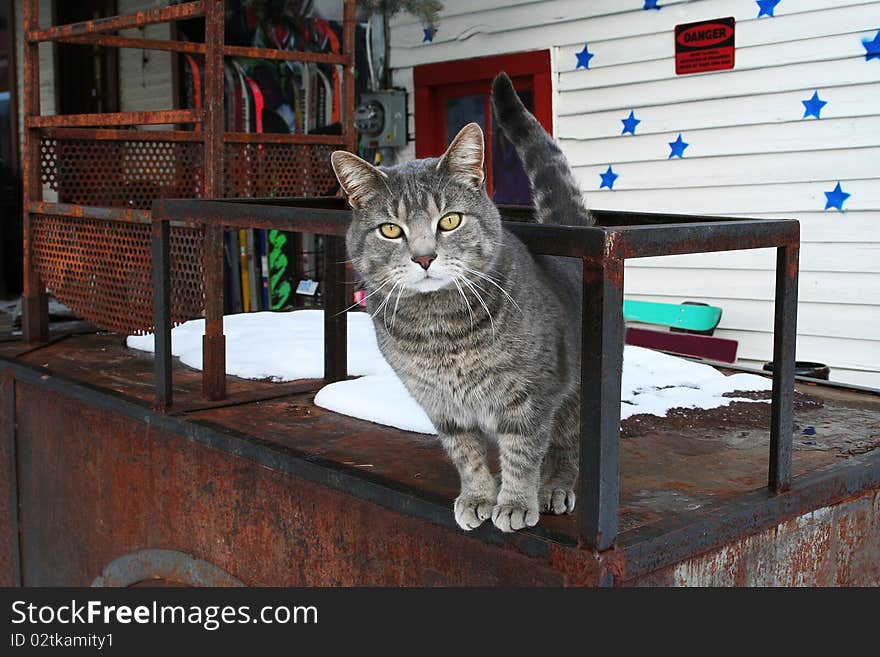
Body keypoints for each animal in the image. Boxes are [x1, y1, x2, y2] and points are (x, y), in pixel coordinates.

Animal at [334, 73, 596, 532]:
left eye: (450, 221)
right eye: (390, 229)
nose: (424, 257)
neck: (439, 328)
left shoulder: (529, 397)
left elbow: (522, 452)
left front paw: (514, 502)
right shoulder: (441, 406)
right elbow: (467, 455)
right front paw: (478, 496)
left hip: (574, 392)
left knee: (563, 445)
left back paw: (552, 487)